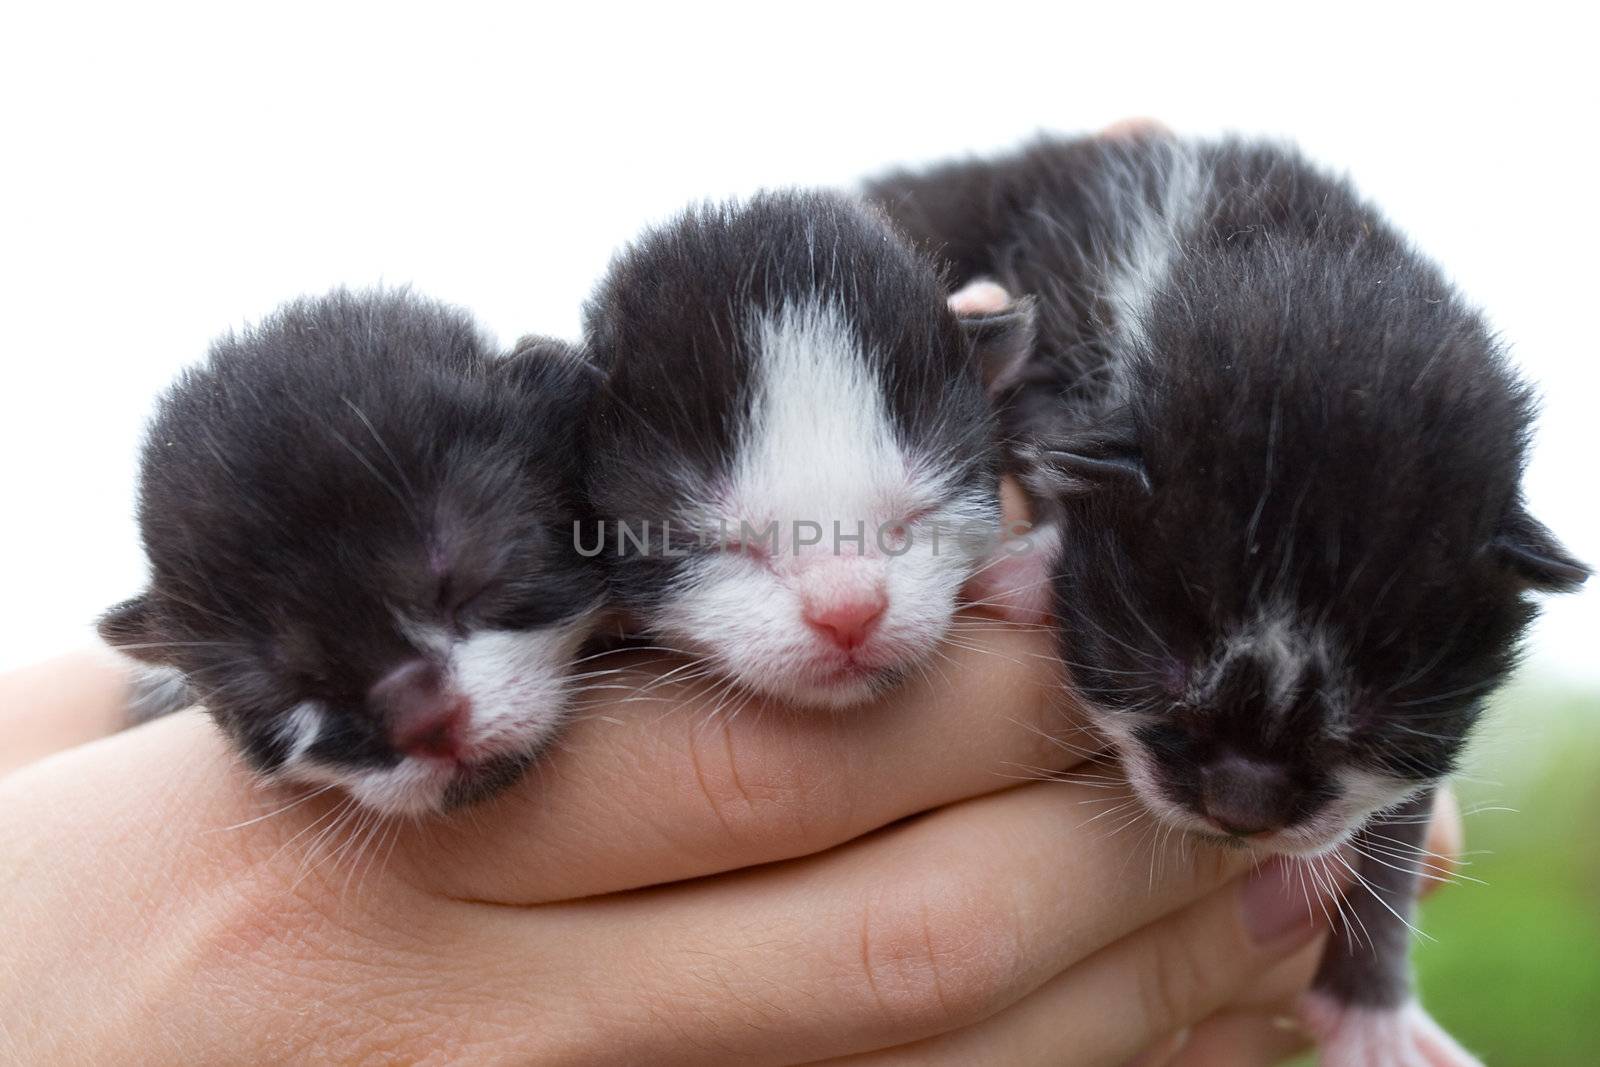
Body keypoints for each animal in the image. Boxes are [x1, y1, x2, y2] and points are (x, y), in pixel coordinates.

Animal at [870, 135, 1593, 1067]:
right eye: (1162, 667)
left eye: (1379, 723)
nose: (1242, 805)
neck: (1261, 233)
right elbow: (1033, 410)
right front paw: (1036, 559)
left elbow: (1394, 825)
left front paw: (1376, 1017)